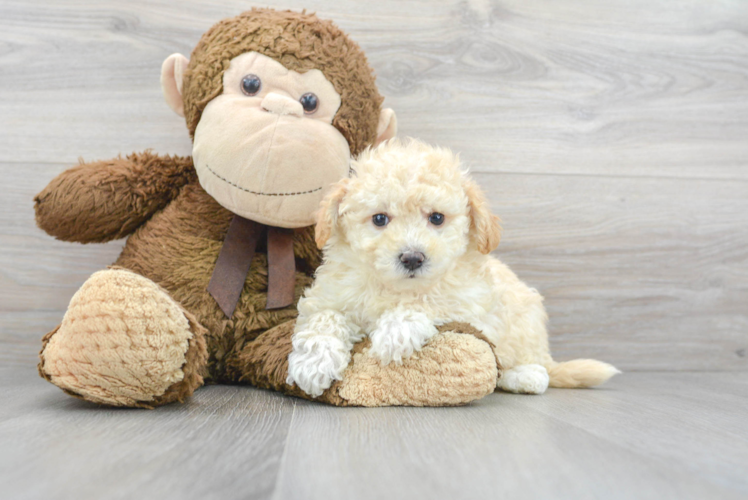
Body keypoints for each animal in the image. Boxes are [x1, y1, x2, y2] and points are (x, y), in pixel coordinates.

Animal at [286, 139, 620, 396]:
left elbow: (432, 300)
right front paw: (313, 364)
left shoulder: (472, 303)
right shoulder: (328, 297)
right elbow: (324, 319)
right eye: (379, 219)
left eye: (437, 218)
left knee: (531, 364)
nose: (412, 257)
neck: (395, 288)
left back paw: (526, 376)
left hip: (526, 322)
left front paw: (396, 331)